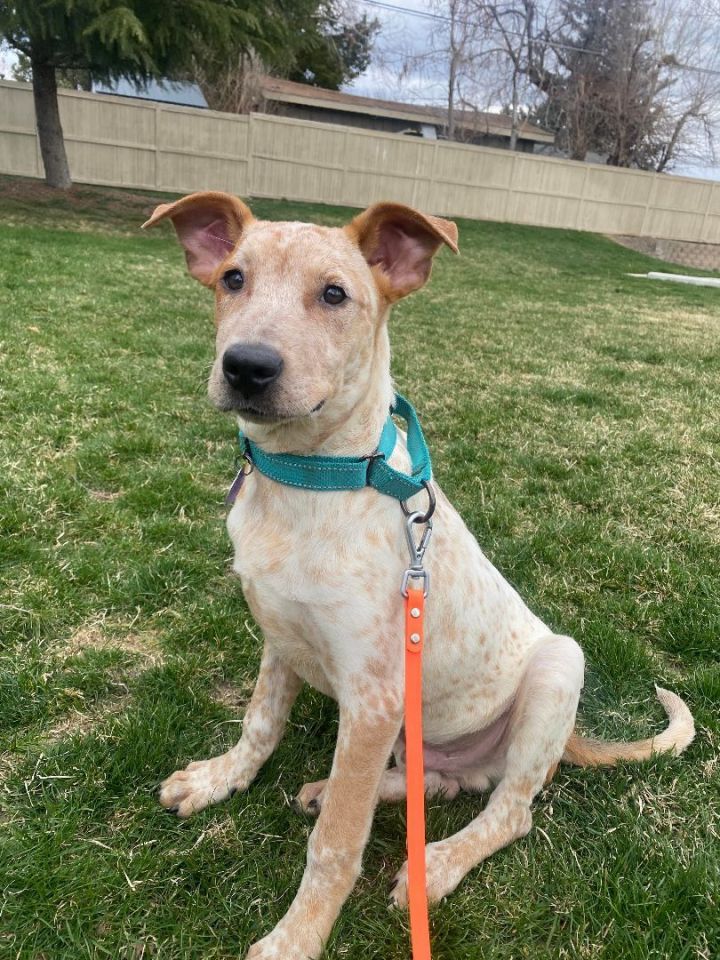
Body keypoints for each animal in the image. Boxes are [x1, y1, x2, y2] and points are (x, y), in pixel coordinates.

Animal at [143, 193, 696, 960]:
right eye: (232, 279)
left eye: (335, 294)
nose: (247, 366)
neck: (312, 477)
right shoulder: (283, 640)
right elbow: (259, 723)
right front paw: (219, 780)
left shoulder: (373, 700)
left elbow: (335, 845)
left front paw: (295, 938)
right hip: (414, 734)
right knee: (438, 783)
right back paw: (358, 790)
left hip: (557, 667)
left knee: (509, 809)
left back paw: (433, 864)